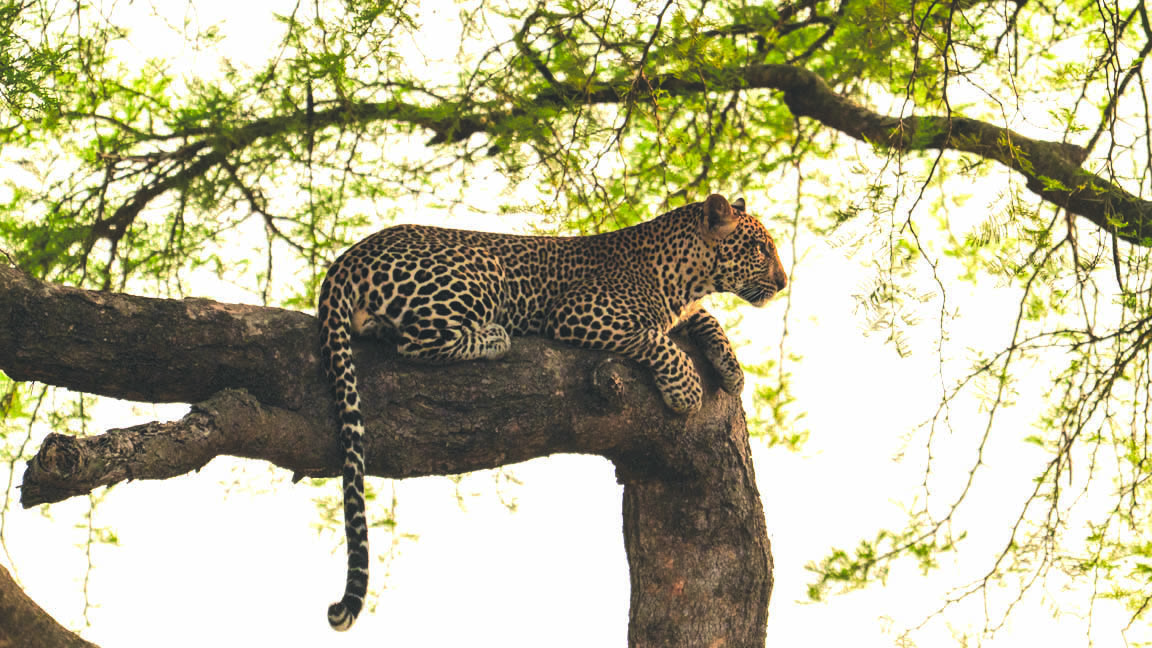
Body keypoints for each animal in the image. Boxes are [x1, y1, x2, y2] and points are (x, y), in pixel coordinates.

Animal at [316, 193, 788, 631]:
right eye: (760, 248)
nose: (784, 283)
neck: (685, 278)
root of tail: (348, 257)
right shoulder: (580, 313)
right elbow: (654, 337)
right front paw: (686, 388)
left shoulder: (682, 310)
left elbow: (706, 319)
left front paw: (732, 369)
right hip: (482, 272)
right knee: (415, 343)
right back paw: (493, 338)